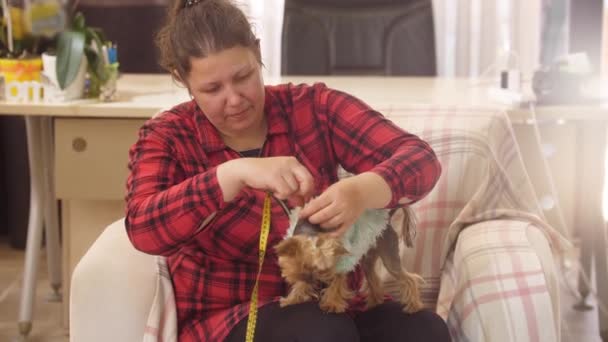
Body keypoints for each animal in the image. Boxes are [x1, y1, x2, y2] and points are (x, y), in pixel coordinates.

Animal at [274, 206, 422, 312]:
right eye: (303, 266)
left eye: (323, 270)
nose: (314, 281)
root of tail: (387, 223)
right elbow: (299, 284)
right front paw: (291, 300)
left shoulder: (340, 263)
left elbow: (337, 284)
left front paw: (332, 304)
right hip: (368, 259)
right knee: (373, 279)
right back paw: (374, 303)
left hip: (389, 254)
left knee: (409, 279)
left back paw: (414, 306)